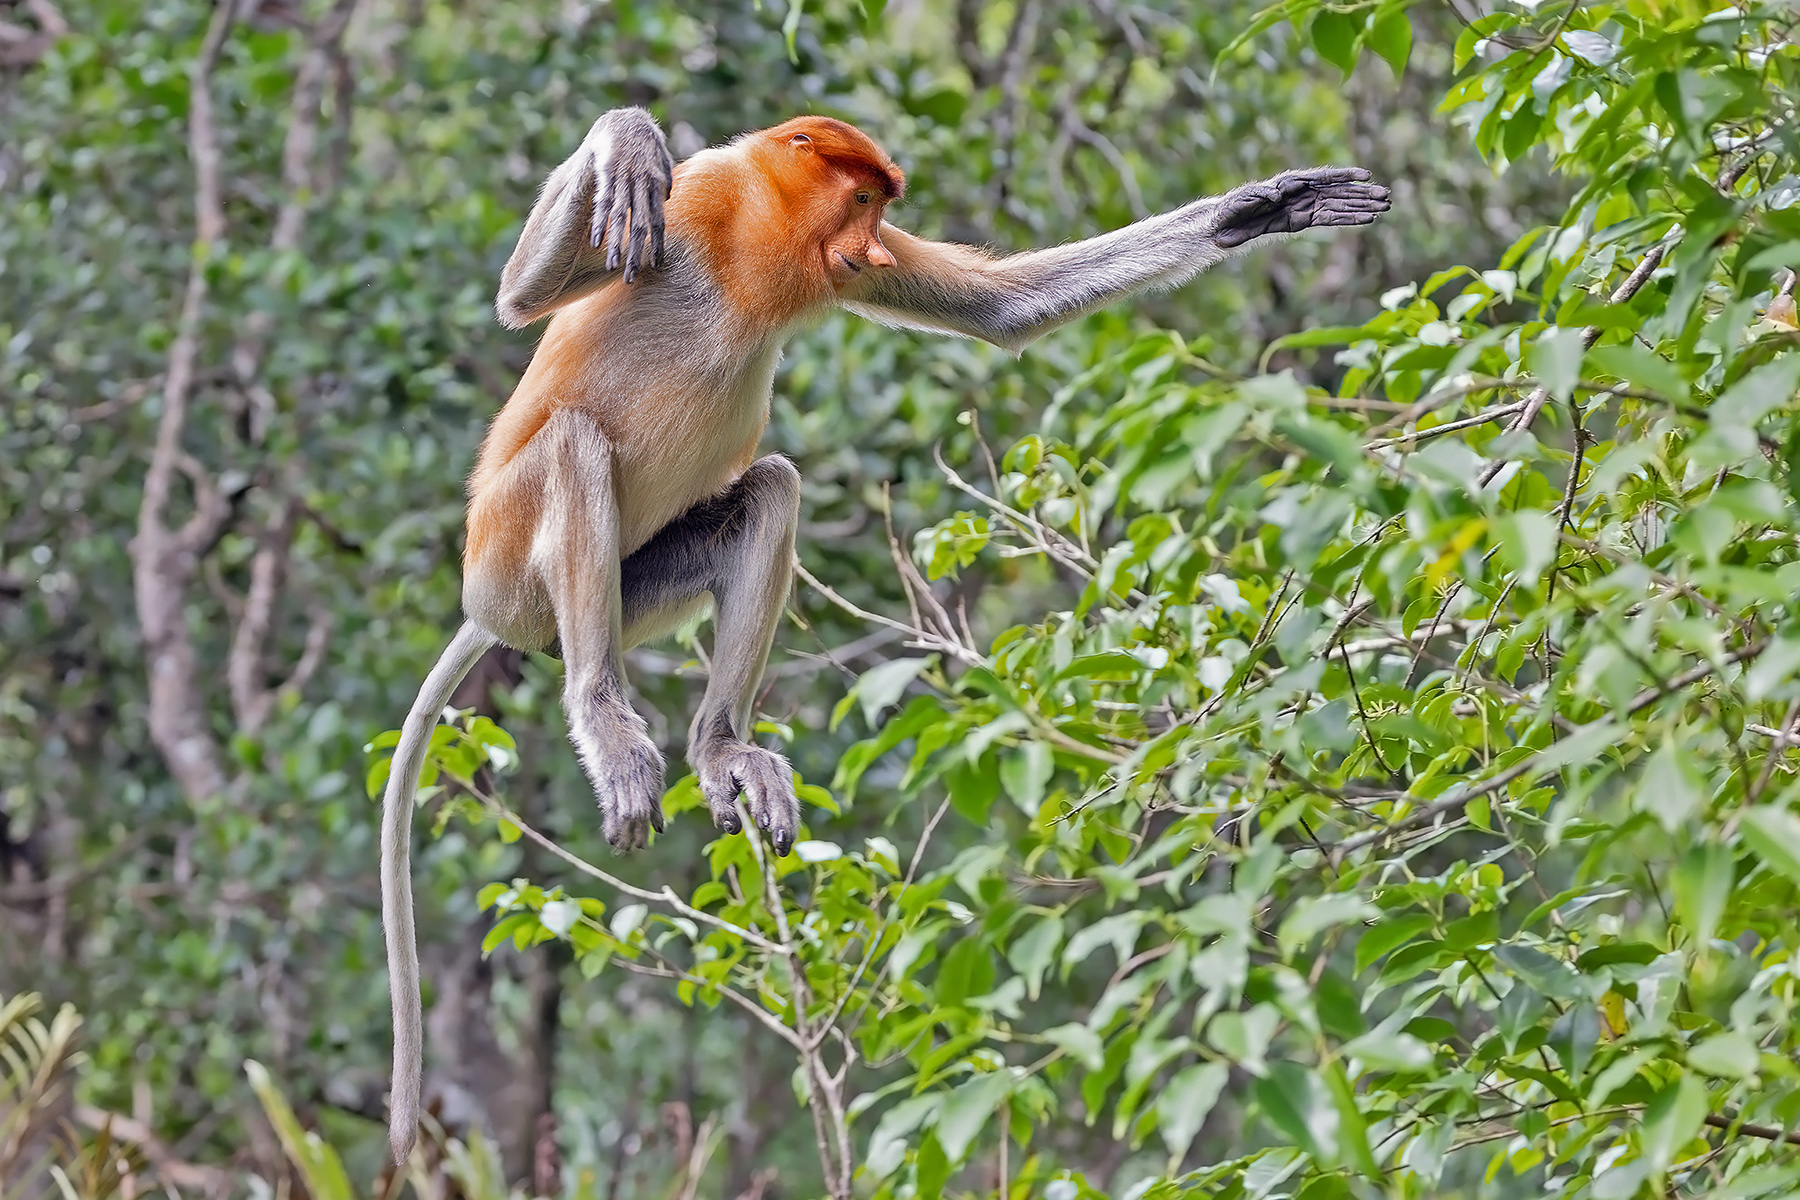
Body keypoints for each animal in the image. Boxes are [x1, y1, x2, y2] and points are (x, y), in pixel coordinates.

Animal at [380, 106, 1389, 1160]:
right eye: (860, 197)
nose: (868, 249)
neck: (753, 244)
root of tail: (485, 611)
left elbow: (1004, 309)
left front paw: (1272, 205)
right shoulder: (698, 203)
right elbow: (520, 299)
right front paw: (629, 146)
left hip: (633, 581)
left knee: (770, 490)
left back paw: (723, 749)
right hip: (510, 557)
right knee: (575, 439)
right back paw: (604, 717)